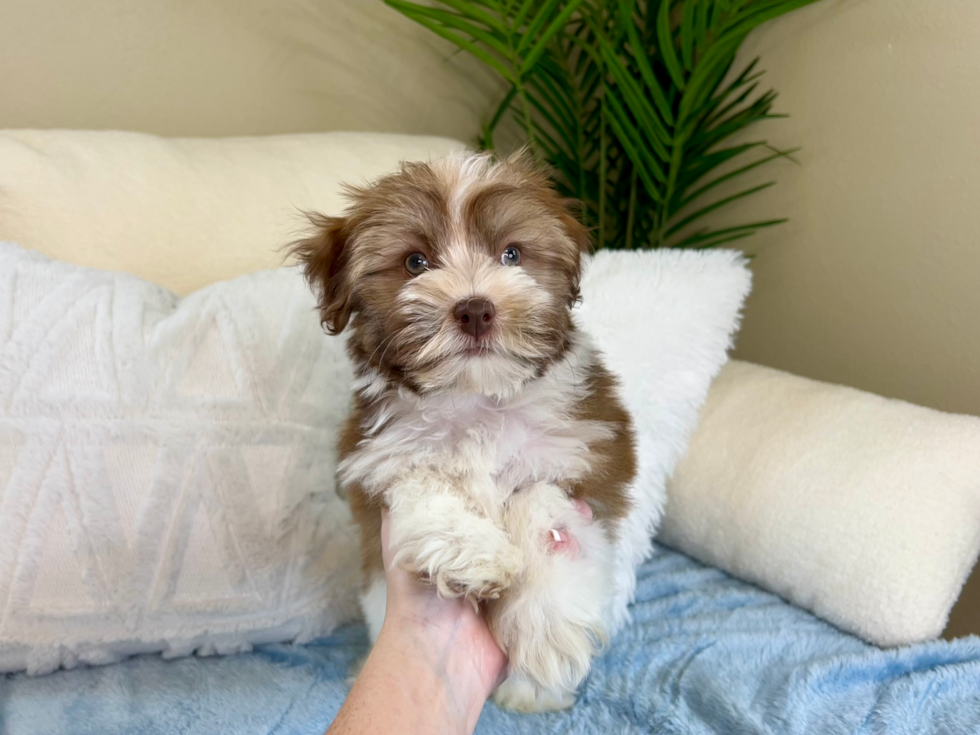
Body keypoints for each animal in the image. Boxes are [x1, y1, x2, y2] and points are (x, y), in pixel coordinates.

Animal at [290, 151, 636, 712]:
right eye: (416, 262)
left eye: (511, 255)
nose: (475, 308)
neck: (476, 397)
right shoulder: (376, 455)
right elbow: (420, 479)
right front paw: (473, 551)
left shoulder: (589, 457)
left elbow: (541, 503)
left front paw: (544, 628)